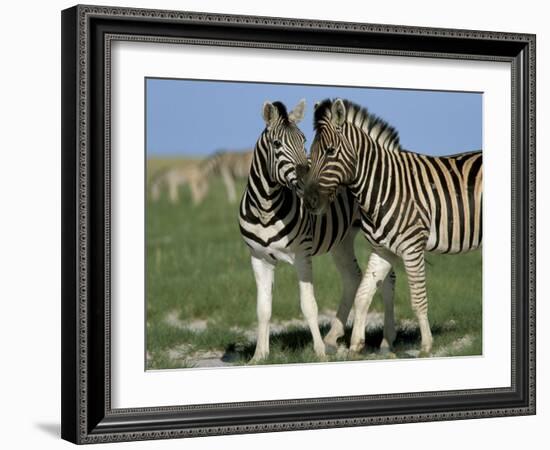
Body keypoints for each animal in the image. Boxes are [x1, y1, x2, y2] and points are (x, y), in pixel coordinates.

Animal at [239, 99, 398, 362]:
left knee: (387, 280)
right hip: (342, 239)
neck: (265, 210)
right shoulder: (258, 258)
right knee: (352, 277)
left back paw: (386, 341)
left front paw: (319, 353)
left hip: (379, 233)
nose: (308, 183)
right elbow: (263, 308)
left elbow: (309, 305)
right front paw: (259, 355)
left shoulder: (302, 255)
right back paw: (333, 336)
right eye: (276, 144)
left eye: (303, 140)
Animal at [304, 98, 486, 356]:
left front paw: (426, 345)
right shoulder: (382, 250)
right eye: (310, 152)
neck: (383, 188)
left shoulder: (412, 247)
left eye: (330, 151)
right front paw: (355, 344)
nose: (309, 200)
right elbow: (363, 293)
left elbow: (418, 299)